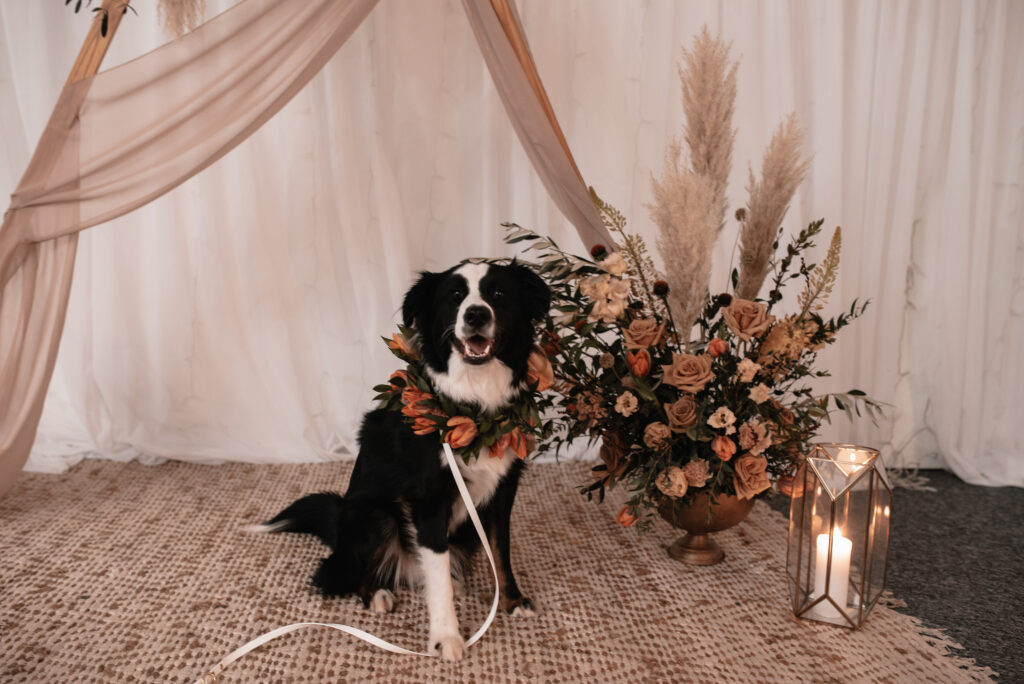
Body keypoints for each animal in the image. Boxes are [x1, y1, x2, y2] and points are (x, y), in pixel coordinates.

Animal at [256, 260, 548, 655]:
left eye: (499, 293)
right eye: (455, 295)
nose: (475, 314)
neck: (473, 405)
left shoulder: (503, 489)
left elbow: (501, 550)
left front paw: (513, 601)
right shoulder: (429, 499)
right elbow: (437, 570)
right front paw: (446, 638)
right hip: (374, 514)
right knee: (343, 573)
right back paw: (377, 593)